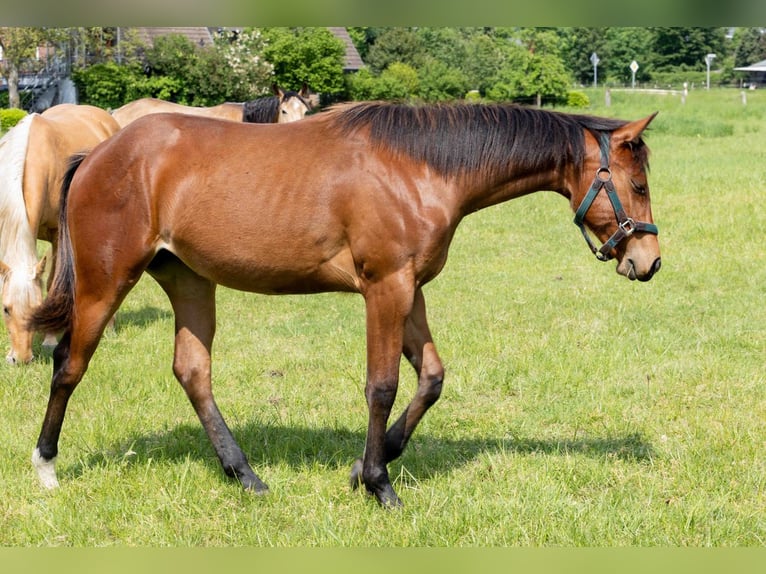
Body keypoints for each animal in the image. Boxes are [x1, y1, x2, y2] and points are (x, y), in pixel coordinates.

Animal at [0, 103, 120, 365]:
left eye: (37, 307)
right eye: (6, 309)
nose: (21, 359)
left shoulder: (57, 234)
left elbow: (53, 281)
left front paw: (49, 339)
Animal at [28, 102, 661, 507]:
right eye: (639, 184)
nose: (649, 260)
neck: (418, 167)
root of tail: (98, 153)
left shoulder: (411, 289)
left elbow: (431, 377)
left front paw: (366, 466)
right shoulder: (385, 289)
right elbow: (381, 386)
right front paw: (380, 482)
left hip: (188, 281)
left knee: (192, 370)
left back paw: (245, 475)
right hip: (106, 283)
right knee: (68, 363)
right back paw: (46, 466)